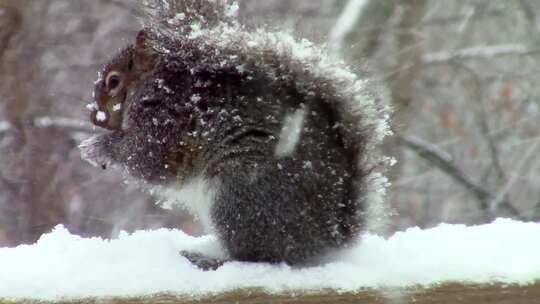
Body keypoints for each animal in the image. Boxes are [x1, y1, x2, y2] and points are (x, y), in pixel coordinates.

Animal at [80, 0, 390, 270]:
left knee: (257, 258)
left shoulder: (167, 119)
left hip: (237, 197)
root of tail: (327, 237)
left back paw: (209, 260)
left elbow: (150, 160)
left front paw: (96, 147)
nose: (94, 116)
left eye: (113, 81)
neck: (152, 83)